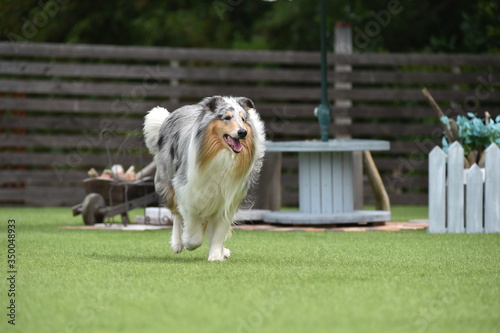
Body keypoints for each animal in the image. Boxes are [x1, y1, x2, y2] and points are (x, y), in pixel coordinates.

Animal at [144, 94, 266, 260]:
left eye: (243, 119)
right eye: (227, 117)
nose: (243, 132)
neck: (221, 155)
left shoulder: (228, 199)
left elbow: (219, 231)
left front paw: (215, 255)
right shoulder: (190, 192)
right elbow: (193, 233)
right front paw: (188, 242)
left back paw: (222, 251)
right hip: (168, 184)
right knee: (177, 215)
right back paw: (177, 243)